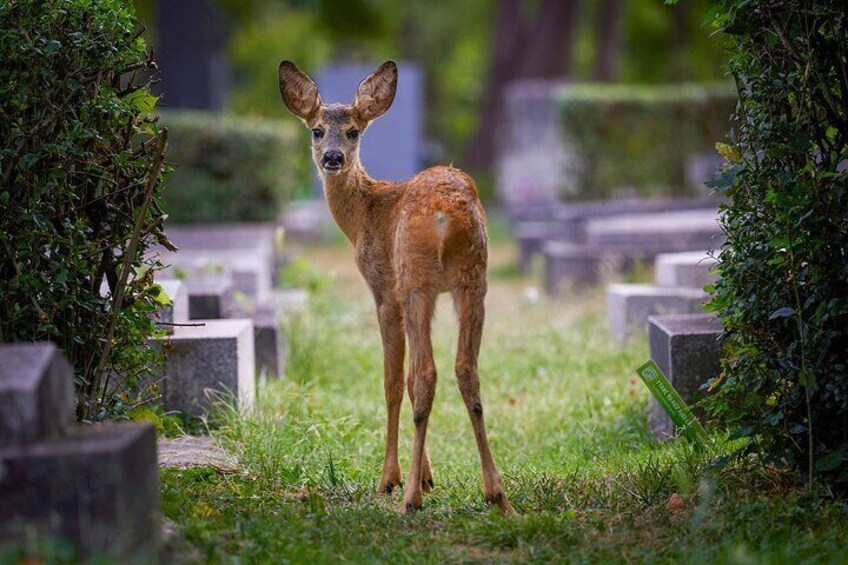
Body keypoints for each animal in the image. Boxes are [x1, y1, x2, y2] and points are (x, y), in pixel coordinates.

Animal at [278, 60, 513, 515]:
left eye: (354, 131)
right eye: (317, 129)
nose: (333, 157)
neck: (364, 214)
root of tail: (446, 214)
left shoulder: (385, 291)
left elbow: (392, 381)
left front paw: (394, 478)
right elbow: (406, 378)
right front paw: (427, 473)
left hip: (416, 279)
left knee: (425, 374)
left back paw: (409, 499)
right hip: (474, 279)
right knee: (465, 369)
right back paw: (496, 494)